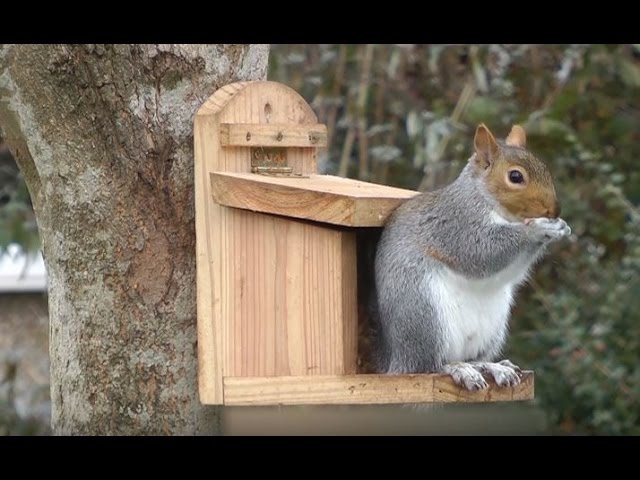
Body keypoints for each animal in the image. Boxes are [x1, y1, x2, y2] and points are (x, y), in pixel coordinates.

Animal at [372, 123, 572, 390]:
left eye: (545, 168)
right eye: (515, 177)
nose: (554, 210)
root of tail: (398, 359)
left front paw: (560, 227)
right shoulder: (457, 225)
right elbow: (481, 252)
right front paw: (538, 229)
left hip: (493, 327)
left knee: (471, 358)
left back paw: (491, 366)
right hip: (424, 314)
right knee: (428, 366)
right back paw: (457, 369)